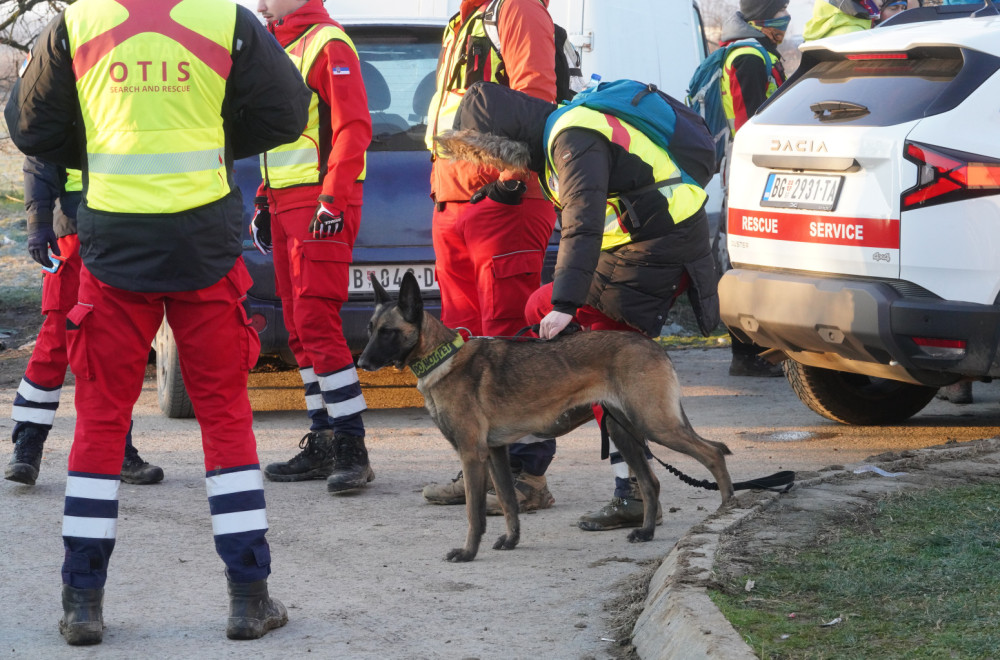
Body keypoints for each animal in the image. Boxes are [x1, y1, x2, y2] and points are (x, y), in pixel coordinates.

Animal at [360, 270, 736, 560]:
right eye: (370, 328)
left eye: (388, 331)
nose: (361, 362)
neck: (442, 357)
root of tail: (652, 345)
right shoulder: (495, 453)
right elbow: (508, 503)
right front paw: (511, 540)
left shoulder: (472, 454)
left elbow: (474, 513)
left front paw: (468, 553)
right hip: (622, 431)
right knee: (650, 481)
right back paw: (645, 532)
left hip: (655, 425)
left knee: (712, 453)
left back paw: (727, 510)